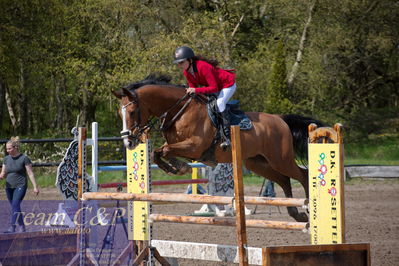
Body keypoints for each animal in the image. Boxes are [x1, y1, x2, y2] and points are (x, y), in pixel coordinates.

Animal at [113, 75, 324, 222]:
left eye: (132, 112)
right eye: (120, 114)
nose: (128, 143)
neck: (179, 111)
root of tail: (280, 119)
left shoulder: (194, 146)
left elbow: (161, 151)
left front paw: (180, 168)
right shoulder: (181, 146)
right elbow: (158, 152)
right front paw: (177, 167)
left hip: (280, 159)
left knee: (302, 175)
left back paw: (309, 209)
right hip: (258, 163)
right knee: (284, 180)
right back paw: (296, 214)